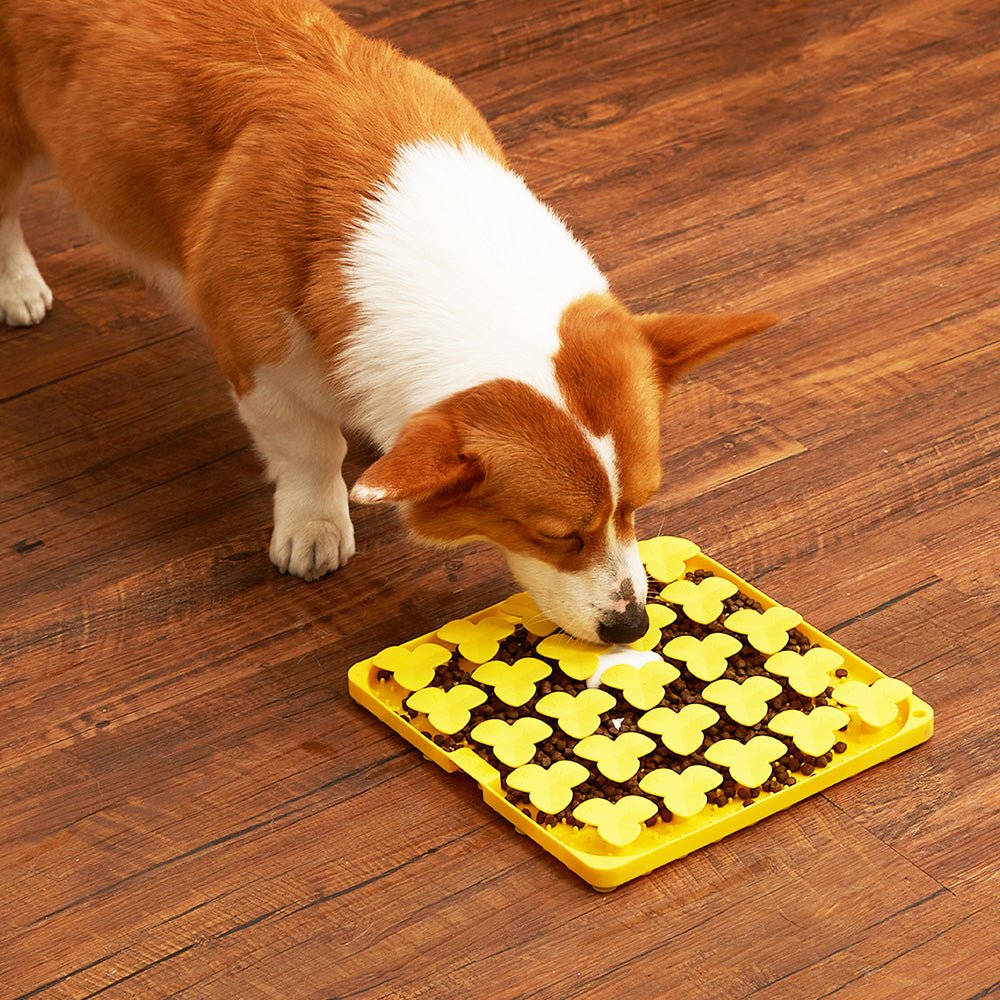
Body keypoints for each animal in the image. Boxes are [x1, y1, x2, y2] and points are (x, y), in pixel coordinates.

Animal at [0, 0, 776, 644]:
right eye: (557, 535)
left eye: (640, 506)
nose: (631, 629)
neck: (452, 256)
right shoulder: (260, 365)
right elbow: (310, 450)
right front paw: (315, 528)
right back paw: (18, 287)